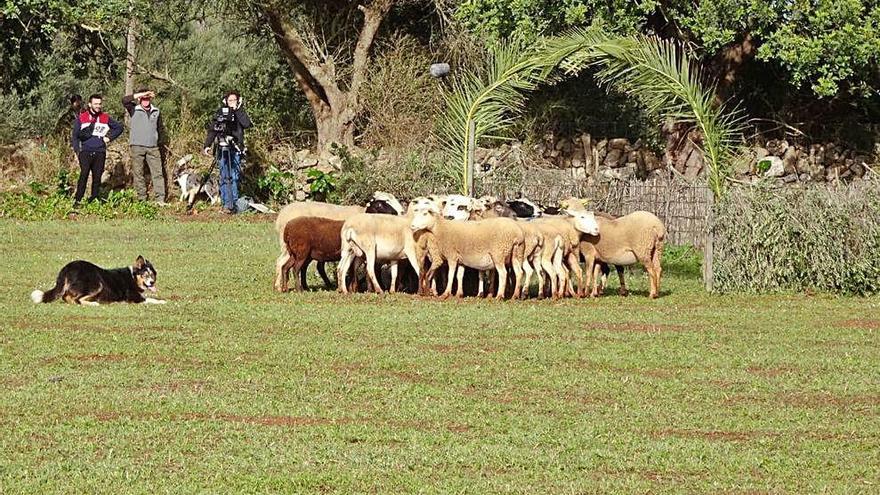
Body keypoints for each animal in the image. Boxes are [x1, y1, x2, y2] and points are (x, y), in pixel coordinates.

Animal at [31, 256, 167, 306]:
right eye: (145, 275)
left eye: (152, 275)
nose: (152, 283)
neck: (133, 278)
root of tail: (67, 267)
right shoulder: (135, 298)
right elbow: (152, 299)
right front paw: (162, 301)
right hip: (97, 283)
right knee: (73, 298)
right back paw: (93, 303)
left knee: (67, 297)